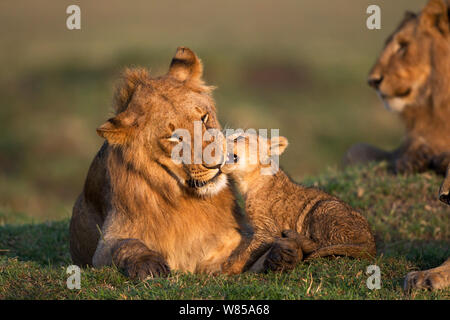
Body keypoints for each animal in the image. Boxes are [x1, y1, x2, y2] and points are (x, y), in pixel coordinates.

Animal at [69, 46, 302, 278]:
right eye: (174, 138)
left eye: (204, 118)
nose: (218, 162)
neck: (182, 200)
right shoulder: (106, 243)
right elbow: (126, 245)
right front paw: (149, 265)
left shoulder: (224, 242)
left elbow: (246, 256)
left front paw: (284, 253)